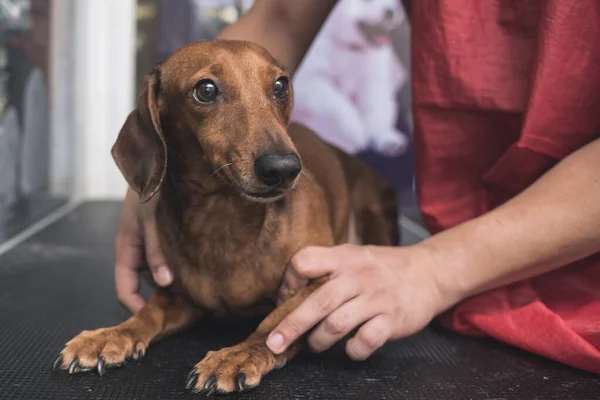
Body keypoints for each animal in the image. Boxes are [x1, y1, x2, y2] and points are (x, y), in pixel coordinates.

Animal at [51, 39, 398, 396]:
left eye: (280, 85)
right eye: (205, 90)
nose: (284, 168)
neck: (222, 217)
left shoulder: (326, 279)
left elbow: (274, 323)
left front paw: (237, 356)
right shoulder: (184, 297)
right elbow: (149, 312)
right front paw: (111, 335)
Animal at [290, 0, 410, 157]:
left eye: (395, 2)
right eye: (367, 1)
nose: (390, 12)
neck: (351, 49)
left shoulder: (372, 80)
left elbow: (377, 107)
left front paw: (386, 137)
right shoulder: (310, 82)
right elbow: (339, 108)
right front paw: (357, 135)